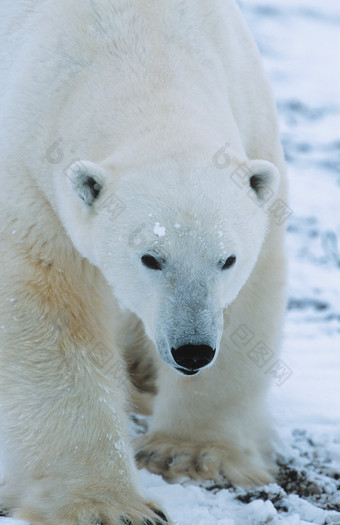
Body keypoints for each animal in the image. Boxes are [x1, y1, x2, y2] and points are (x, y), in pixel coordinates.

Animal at [0, 1, 288, 524]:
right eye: (151, 258)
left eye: (227, 259)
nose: (192, 351)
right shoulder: (31, 171)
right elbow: (49, 309)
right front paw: (109, 506)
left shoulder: (253, 127)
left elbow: (252, 295)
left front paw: (189, 454)